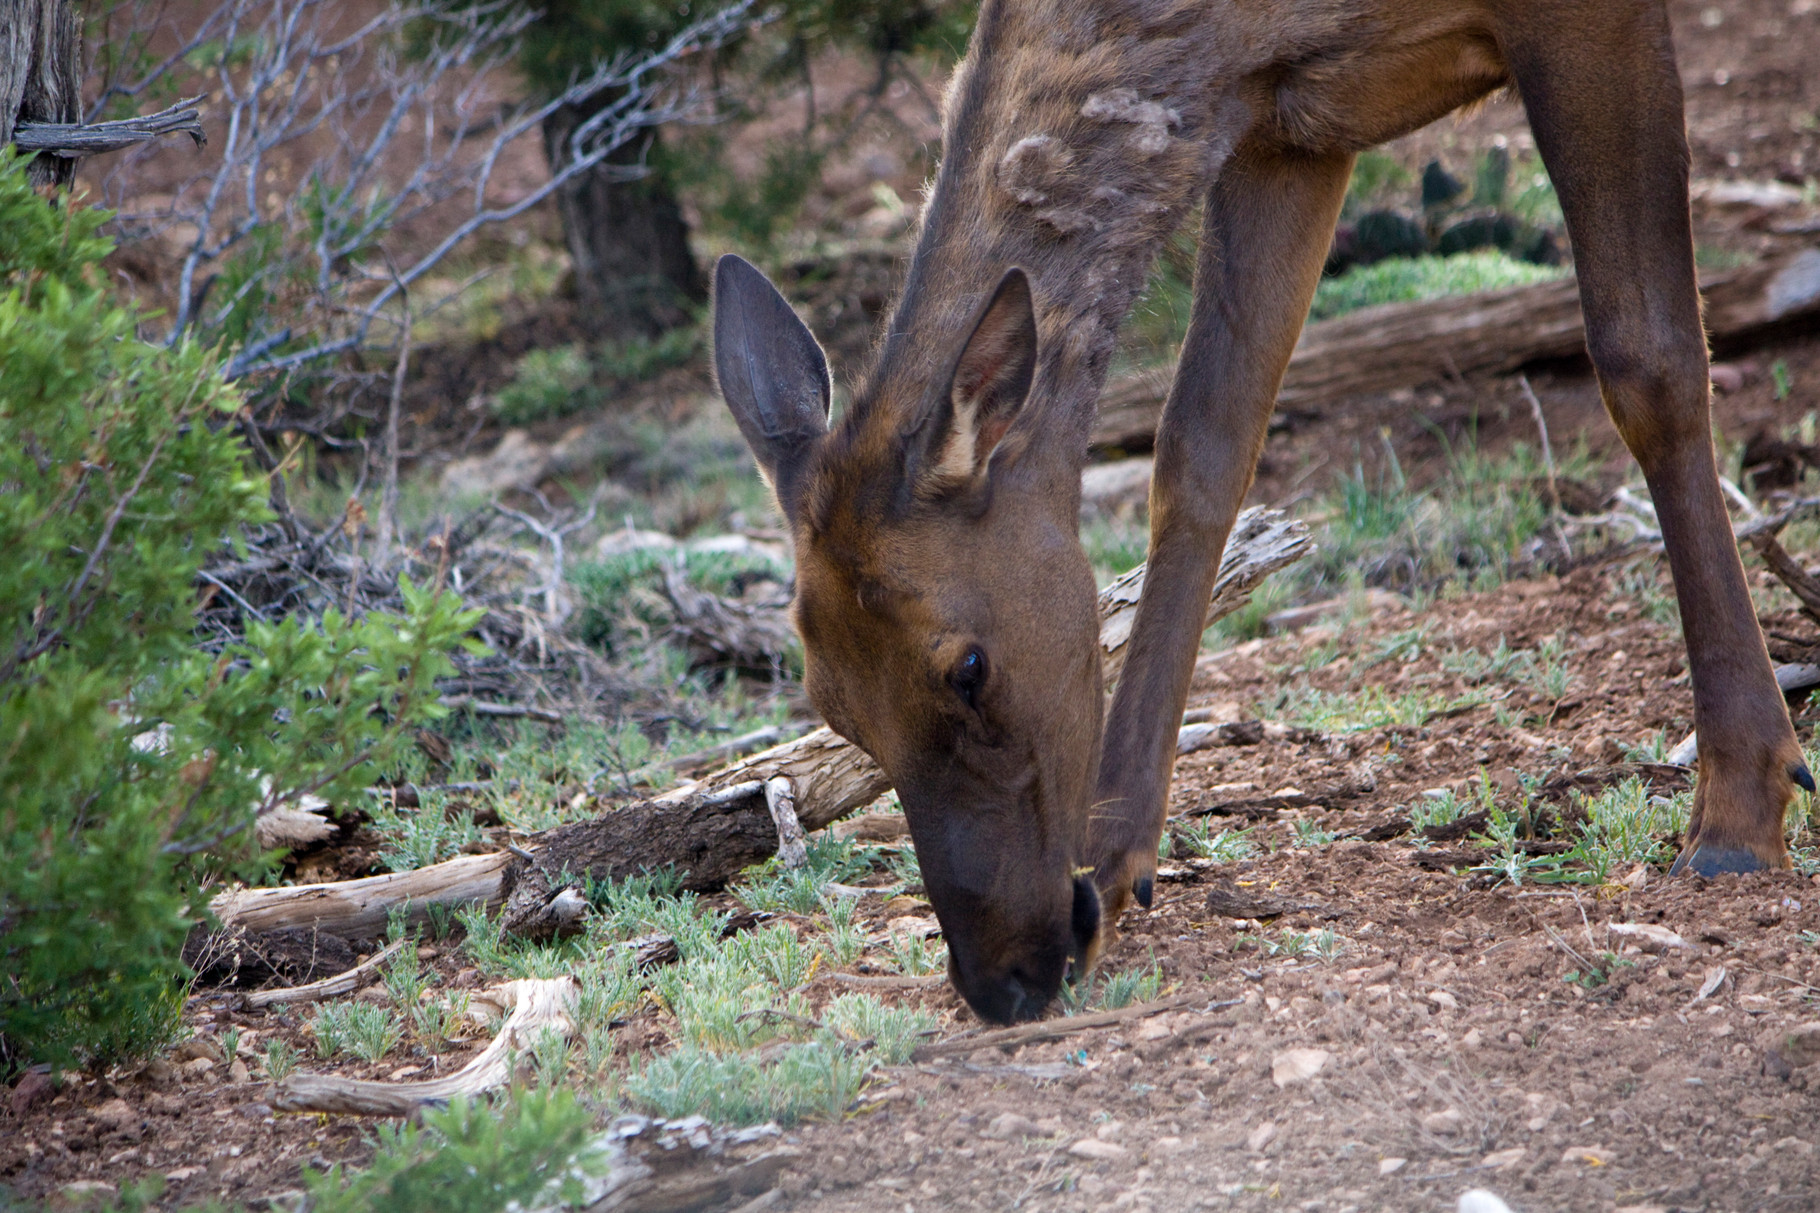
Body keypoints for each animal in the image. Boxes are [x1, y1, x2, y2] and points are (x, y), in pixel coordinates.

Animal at [709, 0, 1805, 1019]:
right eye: (832, 710)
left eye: (967, 666)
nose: (999, 980)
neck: (1247, 28)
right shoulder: (1292, 128)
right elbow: (1203, 443)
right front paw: (1117, 859)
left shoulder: (1586, 21)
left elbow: (1647, 357)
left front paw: (1741, 806)